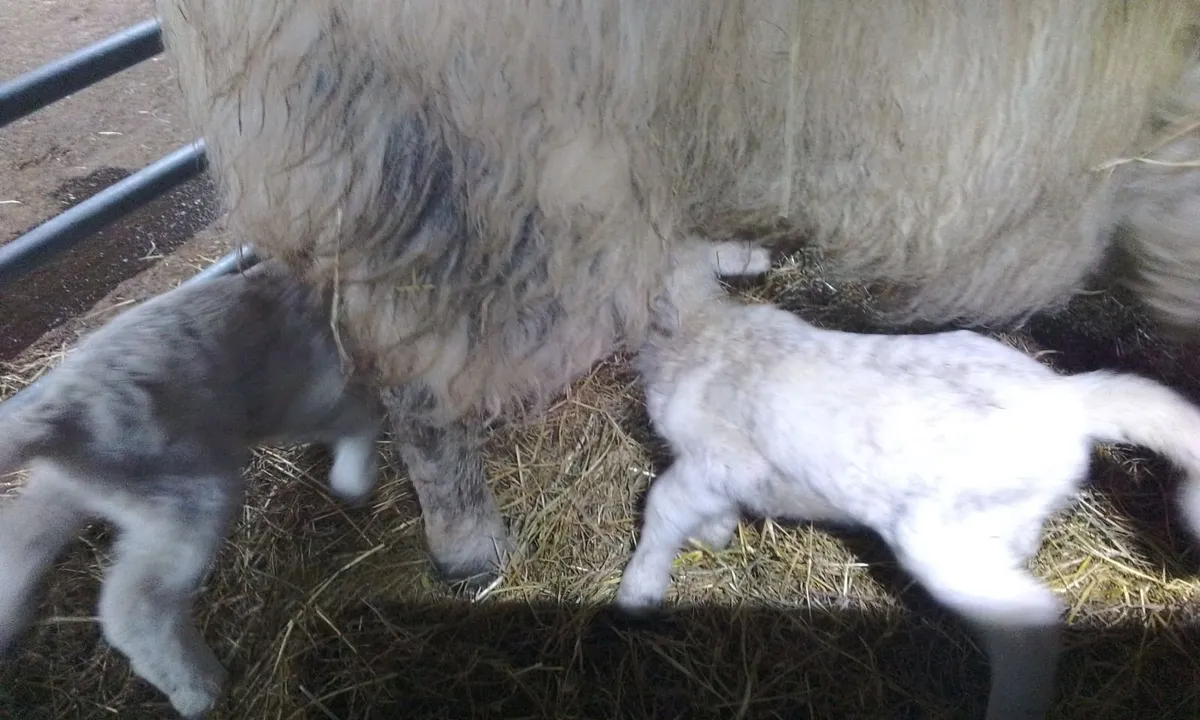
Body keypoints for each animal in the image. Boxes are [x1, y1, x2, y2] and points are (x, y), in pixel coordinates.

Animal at [0, 260, 382, 719]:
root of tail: (61, 414)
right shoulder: (319, 392)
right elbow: (357, 423)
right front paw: (357, 479)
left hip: (73, 486)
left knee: (21, 539)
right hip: (187, 493)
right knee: (134, 605)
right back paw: (199, 689)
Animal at [613, 239, 1200, 720]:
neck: (701, 329)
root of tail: (1066, 402)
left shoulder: (717, 459)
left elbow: (663, 503)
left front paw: (639, 589)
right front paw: (714, 535)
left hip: (940, 539)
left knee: (1029, 624)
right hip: (999, 514)